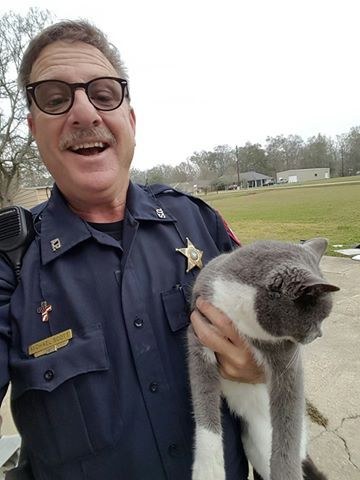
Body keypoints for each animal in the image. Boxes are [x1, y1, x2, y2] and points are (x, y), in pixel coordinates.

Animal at [188, 238, 340, 478]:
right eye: (319, 318)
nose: (320, 334)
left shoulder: (286, 358)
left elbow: (289, 422)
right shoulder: (199, 331)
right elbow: (204, 402)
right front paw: (209, 471)